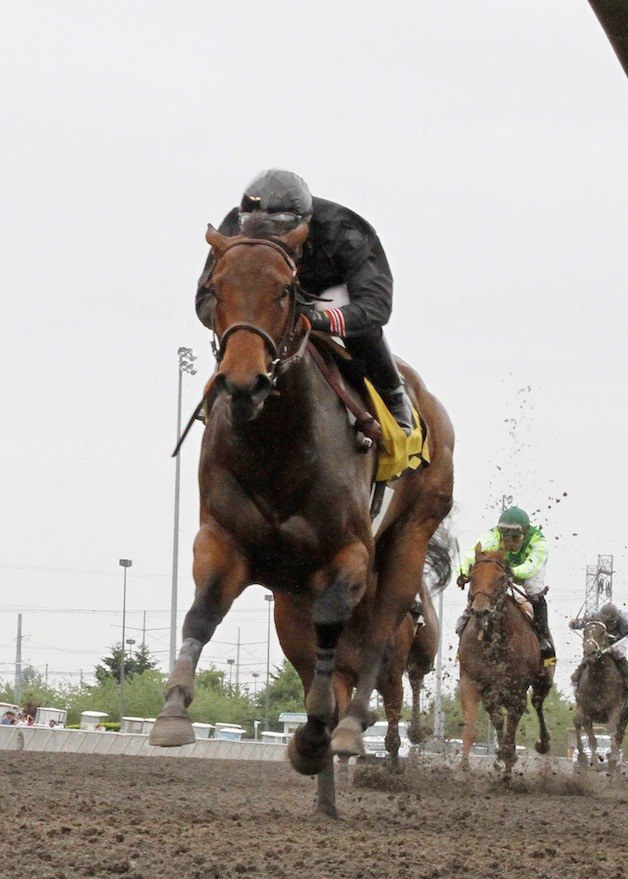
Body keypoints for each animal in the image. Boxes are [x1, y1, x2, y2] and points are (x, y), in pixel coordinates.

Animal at [150, 223, 454, 816]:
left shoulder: (348, 554)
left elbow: (334, 636)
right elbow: (201, 613)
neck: (278, 446)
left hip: (413, 533)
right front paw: (173, 712)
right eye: (214, 289)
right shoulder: (223, 540)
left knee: (383, 633)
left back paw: (351, 729)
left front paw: (321, 734)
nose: (243, 382)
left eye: (286, 292)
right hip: (289, 600)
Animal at [456, 548, 556, 780]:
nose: (480, 611)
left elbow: (512, 727)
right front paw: (464, 768)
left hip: (544, 679)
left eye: (501, 578)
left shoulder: (517, 689)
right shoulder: (471, 681)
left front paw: (509, 765)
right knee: (498, 717)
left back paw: (542, 743)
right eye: (472, 576)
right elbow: (473, 726)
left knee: (537, 703)